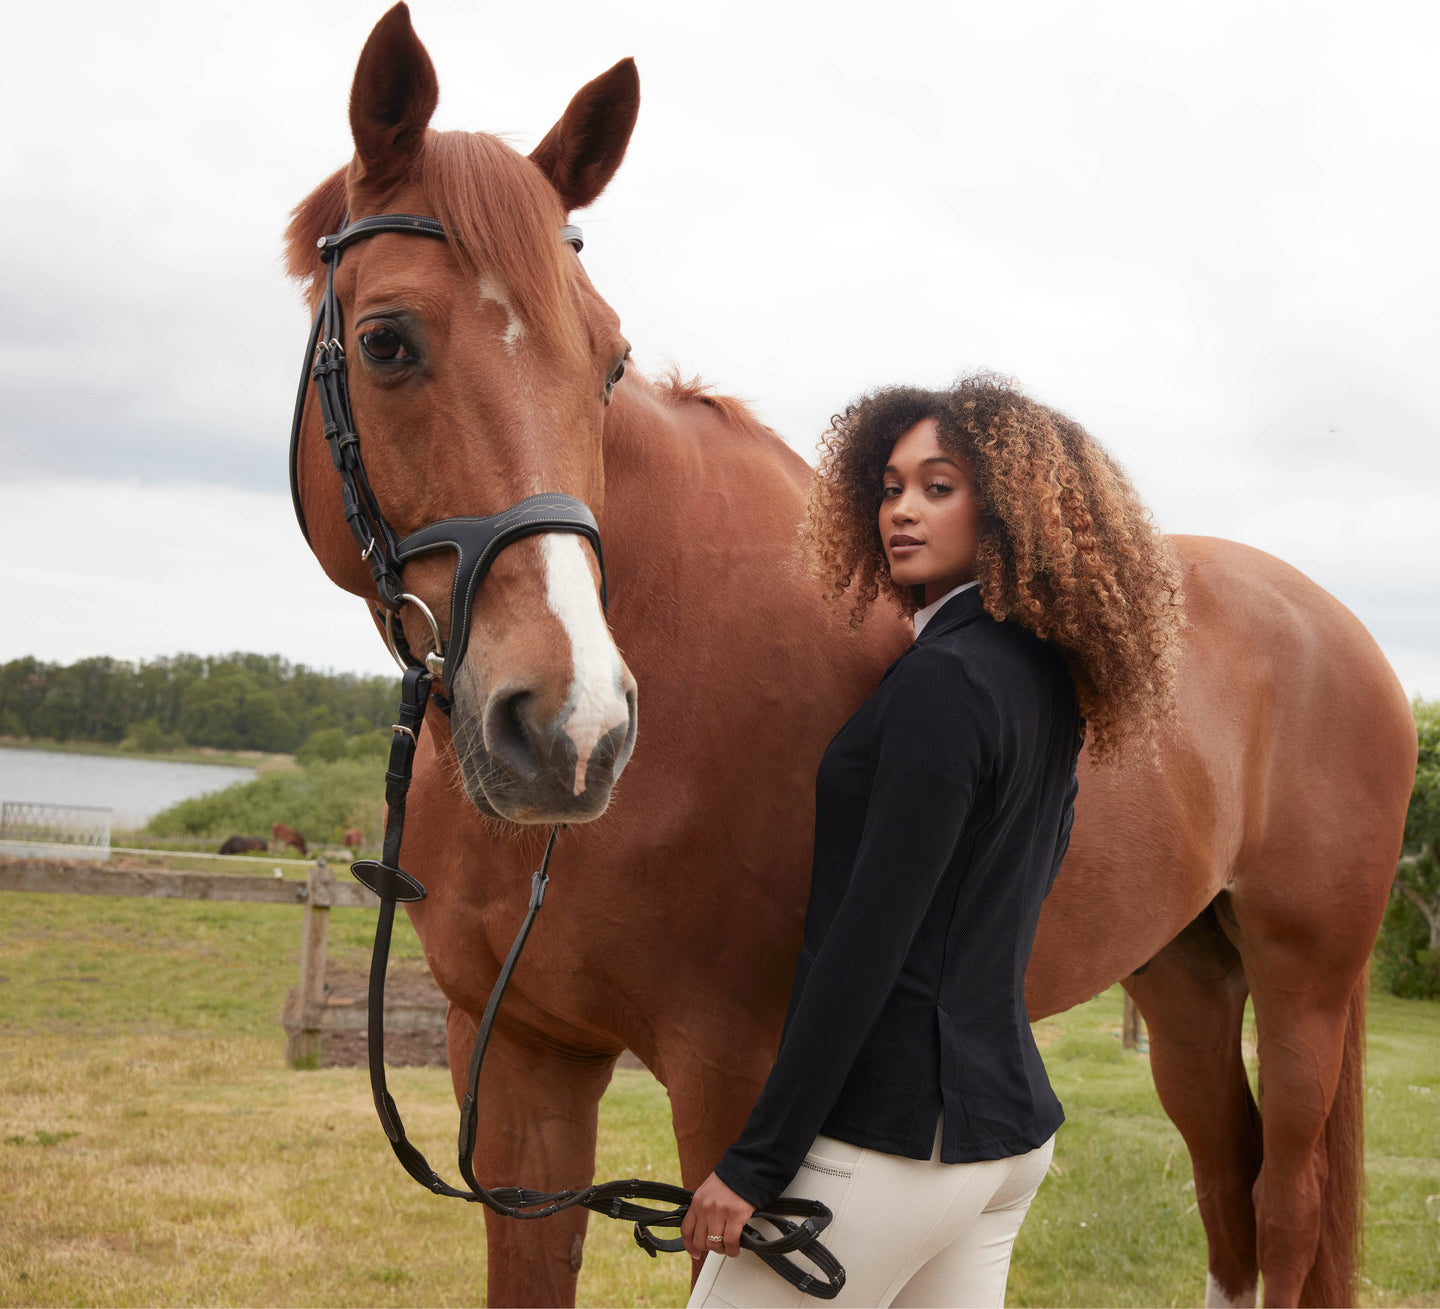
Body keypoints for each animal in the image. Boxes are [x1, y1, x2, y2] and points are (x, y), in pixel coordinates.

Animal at [284, 8, 1417, 1305]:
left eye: (608, 358)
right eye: (386, 341)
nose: (573, 729)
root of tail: (1340, 631)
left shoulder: (737, 1082)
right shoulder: (519, 1056)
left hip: (1304, 979)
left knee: (1285, 1201)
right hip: (1183, 975)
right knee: (1226, 1178)